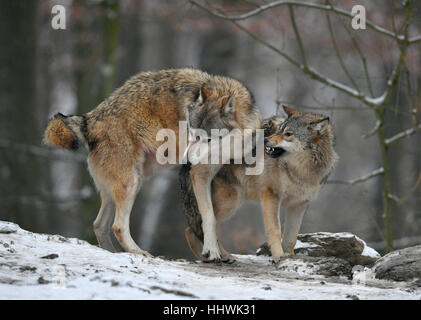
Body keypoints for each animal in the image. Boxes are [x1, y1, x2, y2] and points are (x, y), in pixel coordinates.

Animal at [42, 68, 260, 258]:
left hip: (129, 183)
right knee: (117, 226)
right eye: (191, 132)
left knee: (98, 225)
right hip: (130, 183)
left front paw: (222, 254)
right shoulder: (199, 174)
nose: (187, 160)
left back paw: (114, 253)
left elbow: (209, 218)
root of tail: (89, 120)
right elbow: (209, 217)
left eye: (206, 138)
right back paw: (138, 252)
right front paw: (213, 252)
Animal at [179, 106, 336, 264]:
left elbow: (291, 237)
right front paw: (278, 256)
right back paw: (215, 255)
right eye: (279, 130)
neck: (302, 171)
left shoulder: (300, 204)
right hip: (230, 200)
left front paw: (289, 257)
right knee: (195, 227)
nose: (265, 139)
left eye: (288, 134)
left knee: (193, 229)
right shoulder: (271, 195)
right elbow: (275, 230)